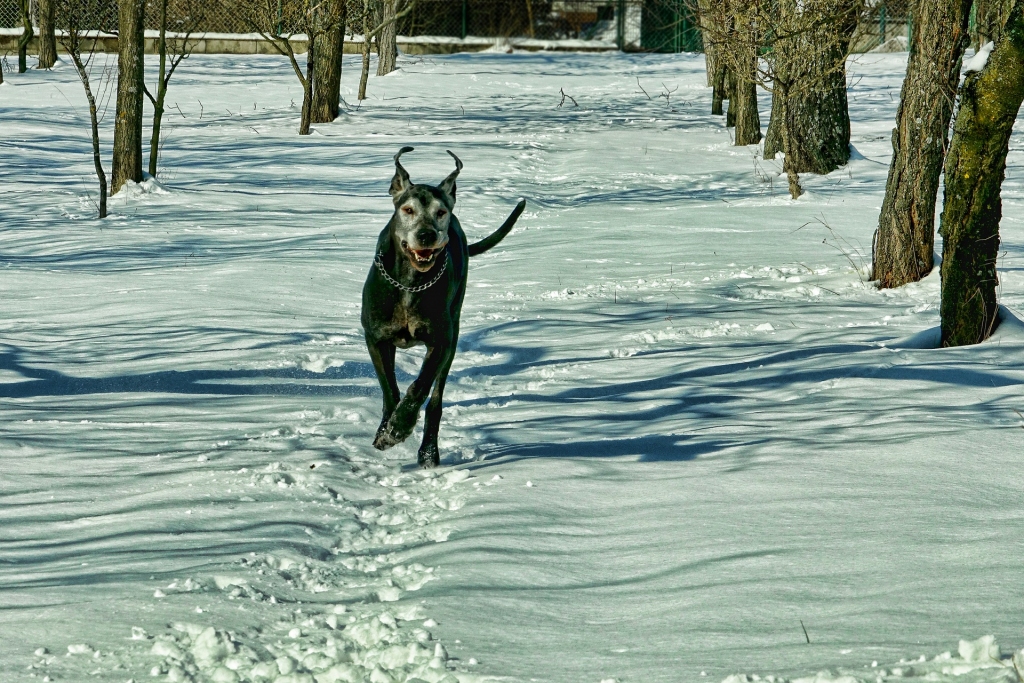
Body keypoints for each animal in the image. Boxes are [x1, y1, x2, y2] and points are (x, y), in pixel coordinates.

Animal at [362, 147, 528, 466]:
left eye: (441, 212)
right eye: (408, 210)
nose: (426, 235)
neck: (410, 282)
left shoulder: (441, 341)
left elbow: (420, 387)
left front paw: (400, 426)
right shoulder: (376, 338)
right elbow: (390, 389)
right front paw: (387, 431)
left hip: (453, 335)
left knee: (435, 400)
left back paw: (429, 452)